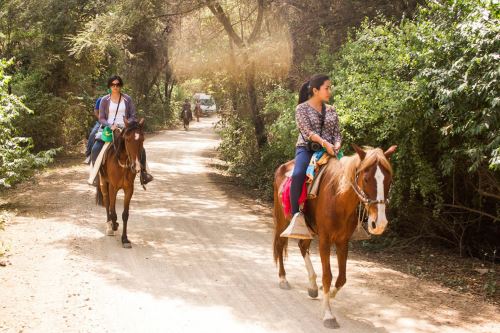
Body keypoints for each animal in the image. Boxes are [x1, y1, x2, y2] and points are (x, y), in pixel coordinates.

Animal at [96, 118, 146, 246]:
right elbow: (113, 210)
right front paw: (114, 225)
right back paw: (110, 225)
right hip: (104, 183)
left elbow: (125, 214)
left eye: (142, 139)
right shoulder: (113, 187)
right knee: (107, 202)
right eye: (127, 139)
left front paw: (125, 239)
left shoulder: (129, 189)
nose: (136, 166)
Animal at [272, 143, 396, 326]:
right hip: (283, 219)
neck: (338, 197)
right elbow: (327, 276)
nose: (379, 224)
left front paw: (327, 295)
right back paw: (283, 279)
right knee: (280, 244)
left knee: (302, 246)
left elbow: (342, 278)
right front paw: (328, 314)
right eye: (366, 179)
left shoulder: (342, 241)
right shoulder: (325, 240)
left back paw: (312, 286)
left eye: (389, 180)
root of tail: (282, 167)